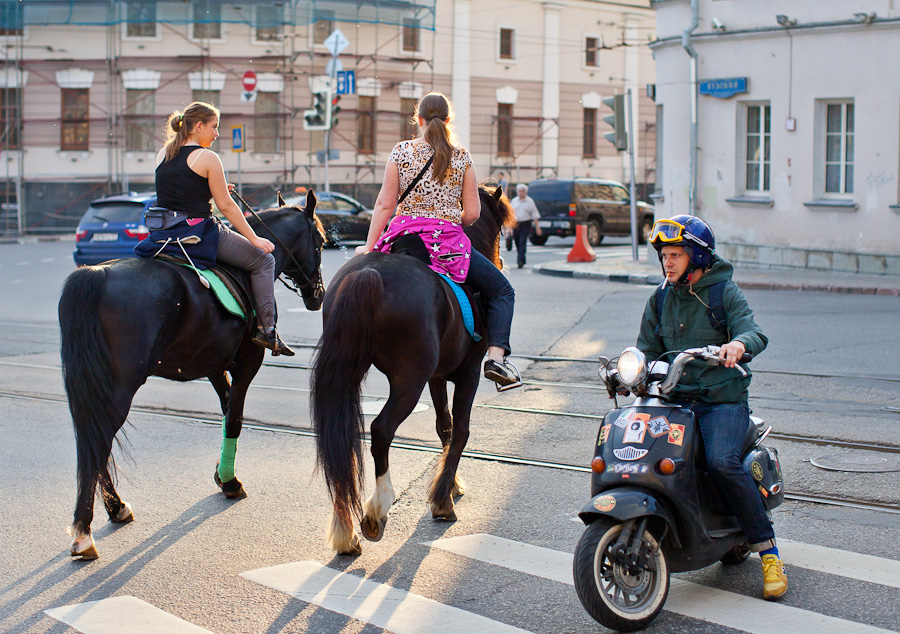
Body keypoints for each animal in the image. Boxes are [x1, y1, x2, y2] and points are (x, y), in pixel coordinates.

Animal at [57, 190, 324, 556]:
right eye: (321, 242)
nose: (319, 294)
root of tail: (96, 274)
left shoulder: (213, 365)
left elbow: (226, 412)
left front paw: (221, 474)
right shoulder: (247, 362)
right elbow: (235, 417)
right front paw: (230, 481)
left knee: (92, 441)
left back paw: (114, 508)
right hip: (119, 388)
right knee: (97, 441)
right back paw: (85, 530)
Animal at [312, 185, 512, 552]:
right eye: (500, 233)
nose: (501, 263)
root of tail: (369, 274)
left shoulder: (437, 377)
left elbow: (444, 427)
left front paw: (451, 484)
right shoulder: (468, 374)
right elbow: (461, 430)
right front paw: (443, 500)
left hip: (348, 372)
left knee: (340, 436)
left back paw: (345, 531)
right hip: (408, 382)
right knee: (380, 430)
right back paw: (377, 509)